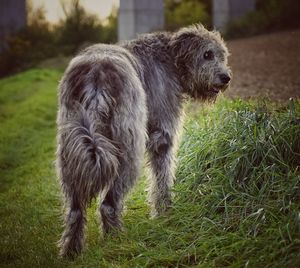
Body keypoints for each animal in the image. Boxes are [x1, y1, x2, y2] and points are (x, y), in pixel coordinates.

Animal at [56, 24, 232, 256]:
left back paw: (71, 251)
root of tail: (95, 76)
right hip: (128, 149)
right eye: (207, 54)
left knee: (75, 210)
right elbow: (163, 177)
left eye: (223, 55)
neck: (171, 58)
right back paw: (116, 241)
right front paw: (166, 212)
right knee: (108, 204)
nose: (226, 77)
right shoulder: (163, 134)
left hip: (71, 148)